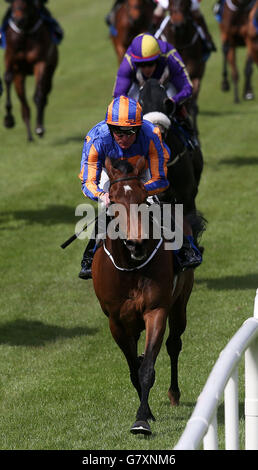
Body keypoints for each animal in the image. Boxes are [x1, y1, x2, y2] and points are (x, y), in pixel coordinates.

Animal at [3, 0, 58, 140]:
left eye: (28, 2)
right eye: (12, 3)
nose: (18, 20)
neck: (25, 33)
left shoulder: (41, 62)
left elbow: (38, 95)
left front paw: (39, 128)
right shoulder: (11, 59)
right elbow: (7, 78)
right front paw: (8, 119)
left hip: (50, 69)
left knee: (44, 91)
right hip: (20, 75)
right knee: (24, 104)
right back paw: (29, 136)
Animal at [92, 157, 202, 434]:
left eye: (143, 197)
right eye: (113, 198)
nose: (136, 243)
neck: (130, 268)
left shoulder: (156, 310)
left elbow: (146, 369)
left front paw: (141, 419)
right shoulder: (116, 321)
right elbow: (134, 368)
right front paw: (147, 412)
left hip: (180, 303)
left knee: (174, 344)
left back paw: (174, 393)